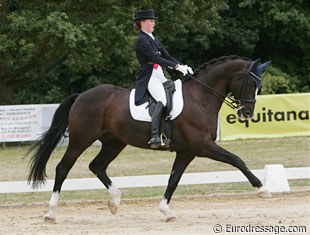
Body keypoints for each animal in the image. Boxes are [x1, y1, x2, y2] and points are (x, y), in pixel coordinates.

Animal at [28, 54, 272, 222]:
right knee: (63, 168)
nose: (247, 114)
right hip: (81, 139)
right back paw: (51, 213)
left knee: (97, 166)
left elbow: (173, 180)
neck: (200, 99)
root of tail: (81, 96)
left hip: (114, 142)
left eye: (258, 85)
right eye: (251, 83)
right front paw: (262, 189)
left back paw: (115, 202)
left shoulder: (187, 152)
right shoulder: (202, 146)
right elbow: (236, 159)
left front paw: (166, 211)